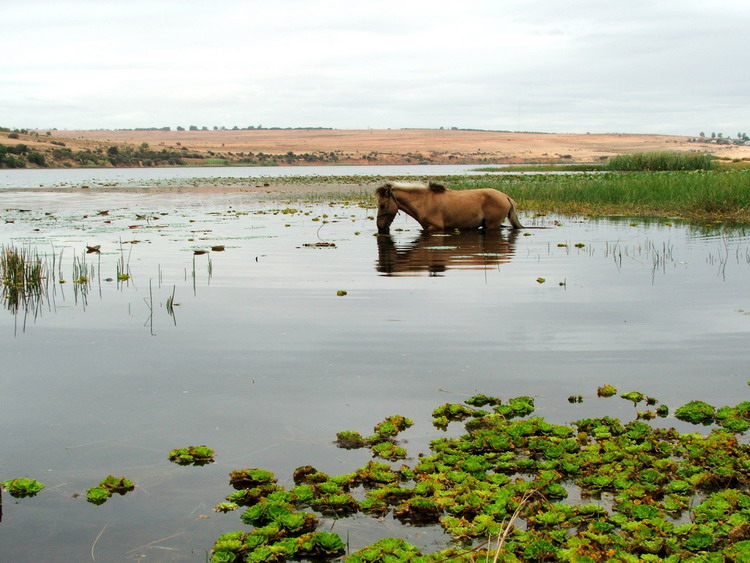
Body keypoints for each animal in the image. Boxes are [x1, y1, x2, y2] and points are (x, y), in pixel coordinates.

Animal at [374, 181, 524, 234]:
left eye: (382, 205)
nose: (380, 227)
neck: (424, 202)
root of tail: (505, 196)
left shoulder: (435, 228)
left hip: (493, 225)